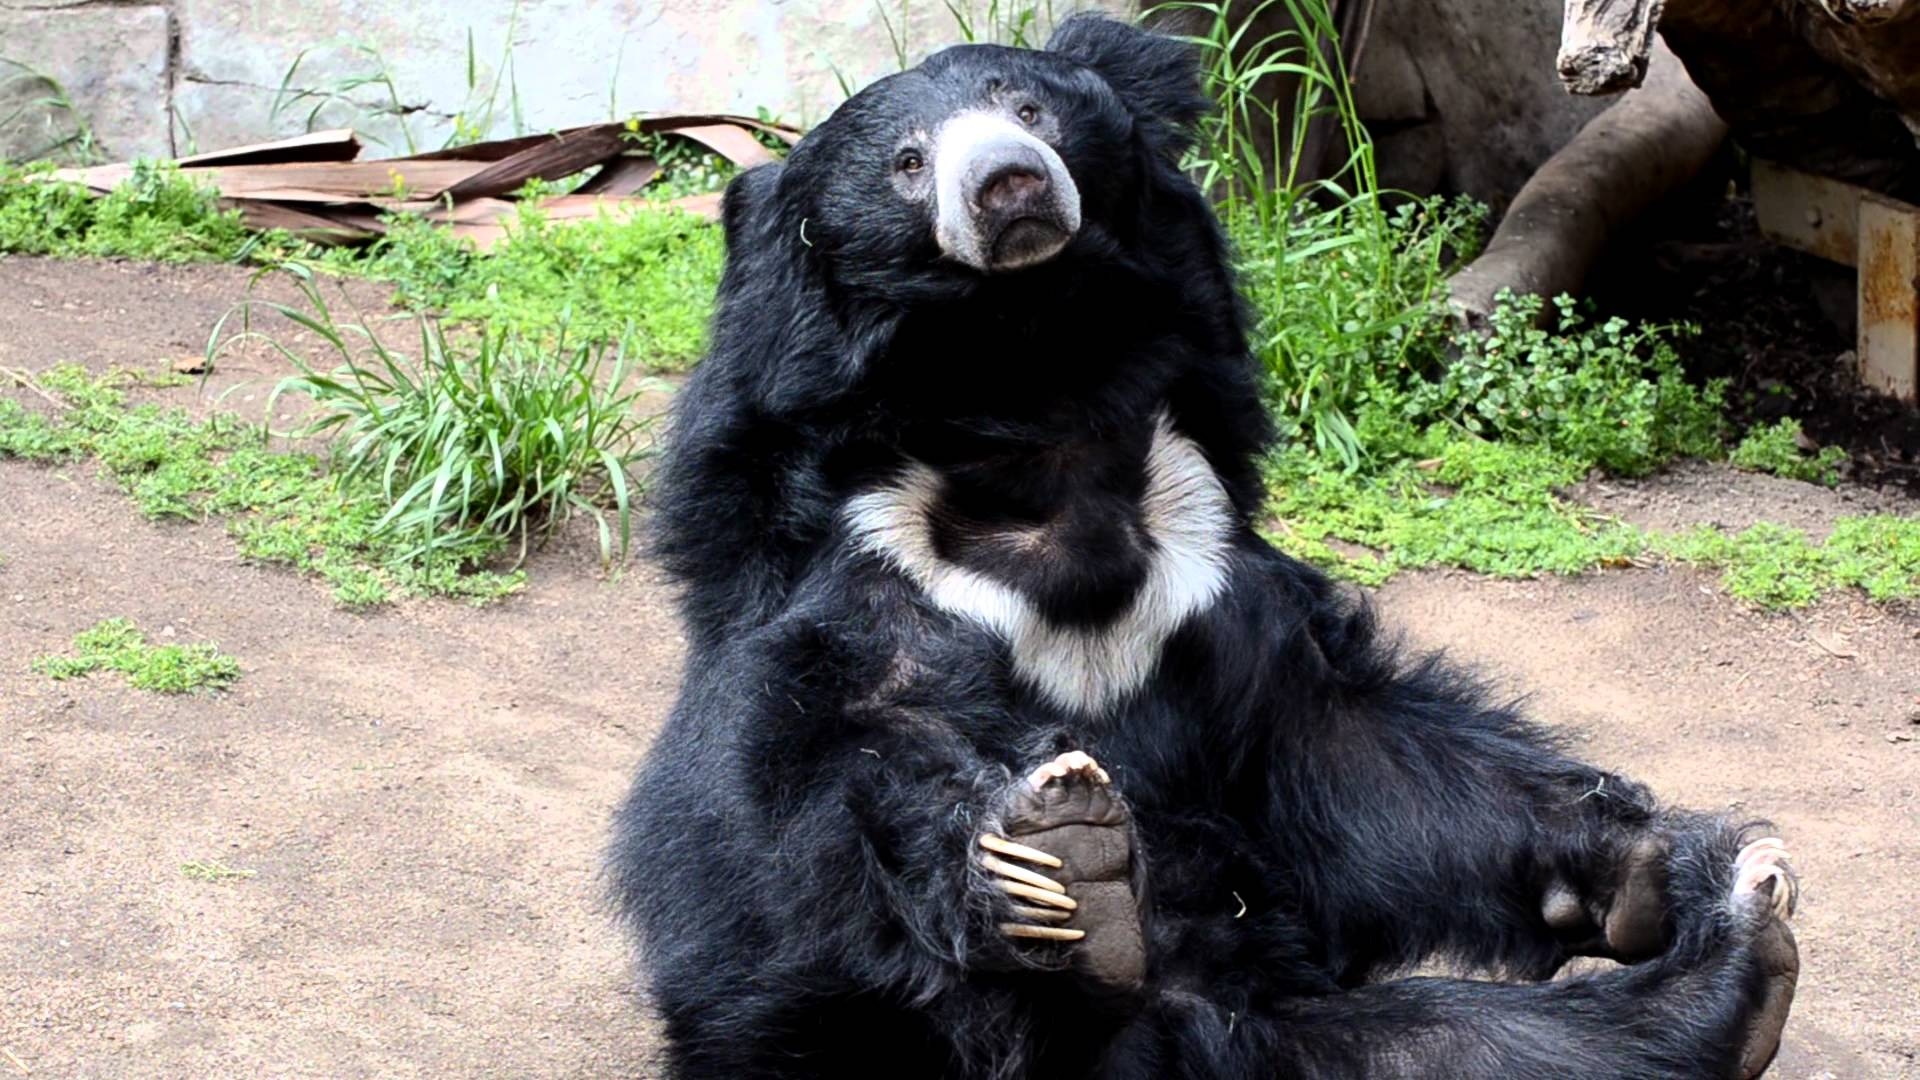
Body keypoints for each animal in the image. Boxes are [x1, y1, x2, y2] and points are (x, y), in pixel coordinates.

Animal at [610, 10, 1797, 1076]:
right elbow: (834, 772)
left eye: (1027, 109)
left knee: (1461, 1047)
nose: (1010, 184)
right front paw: (1059, 849)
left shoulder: (1206, 563)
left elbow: (1361, 760)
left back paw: (1739, 951)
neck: (1031, 382)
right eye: (908, 163)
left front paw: (1632, 856)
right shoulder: (863, 569)